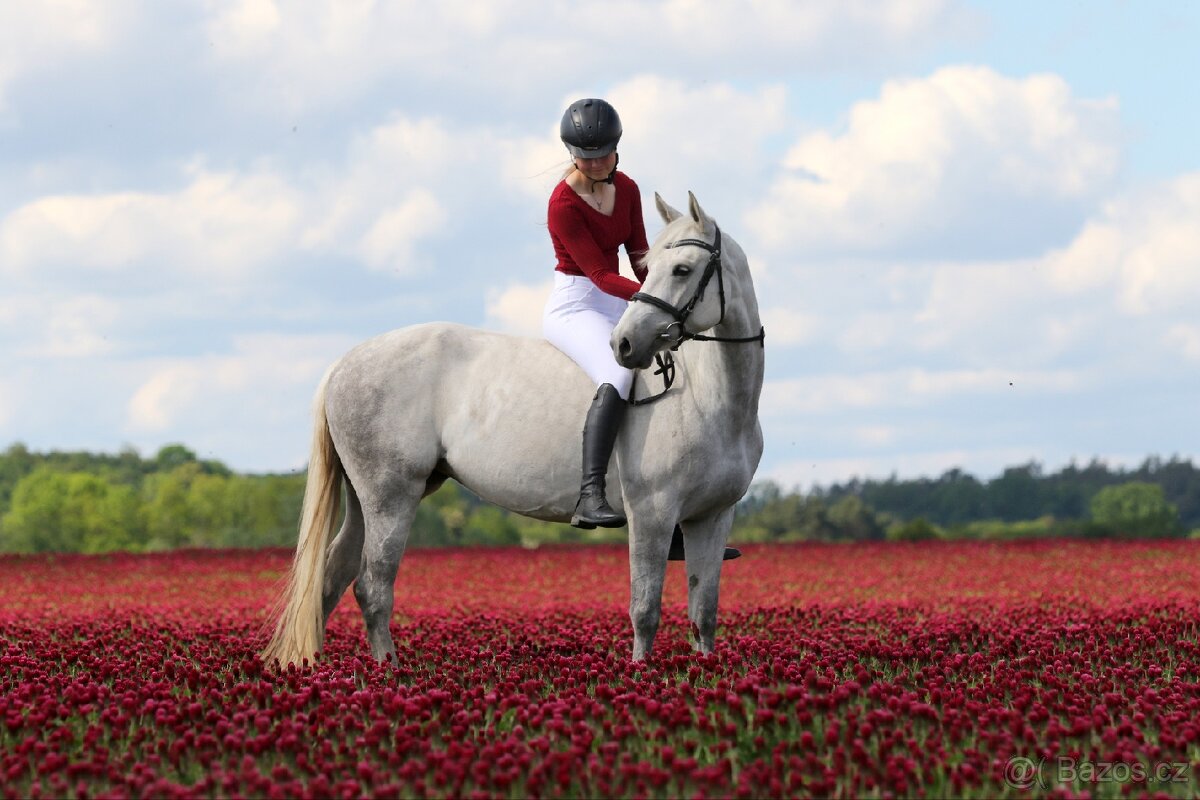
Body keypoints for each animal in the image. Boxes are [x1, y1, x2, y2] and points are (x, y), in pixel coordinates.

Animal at [262, 192, 764, 666]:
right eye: (649, 268)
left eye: (681, 268)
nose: (624, 345)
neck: (709, 395)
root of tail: (345, 362)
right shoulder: (652, 514)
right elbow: (645, 609)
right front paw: (642, 674)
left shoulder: (712, 517)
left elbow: (704, 612)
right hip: (392, 496)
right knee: (372, 586)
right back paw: (388, 671)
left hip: (366, 498)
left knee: (332, 577)